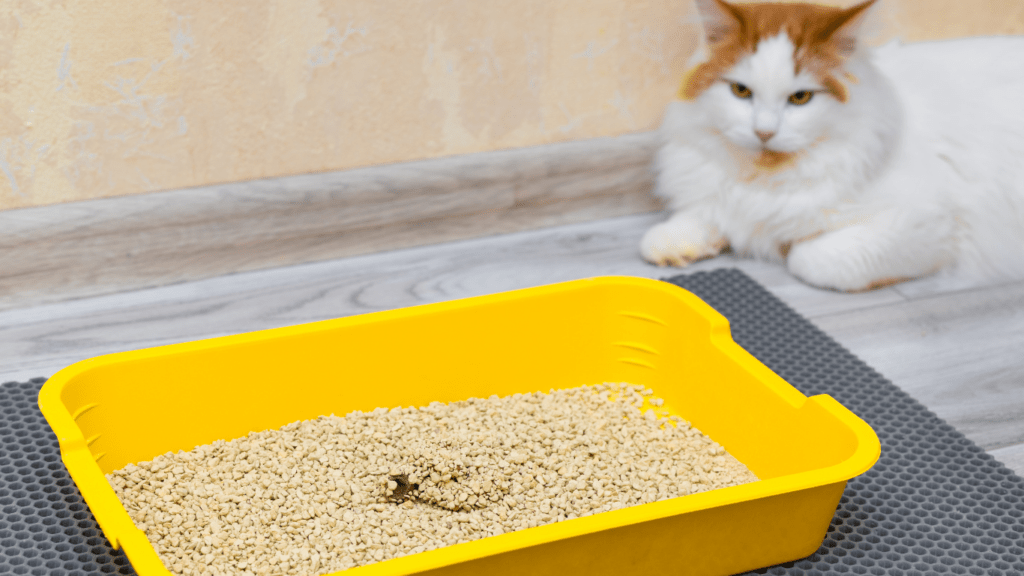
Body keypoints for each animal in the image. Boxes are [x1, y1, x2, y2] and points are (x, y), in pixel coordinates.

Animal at [643, 0, 1024, 286]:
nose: (763, 132)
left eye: (800, 98)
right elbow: (687, 222)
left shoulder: (928, 226)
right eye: (741, 91)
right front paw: (677, 244)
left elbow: (807, 256)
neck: (765, 178)